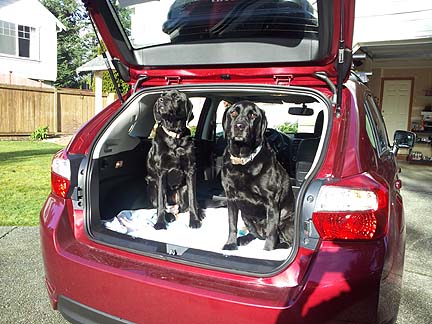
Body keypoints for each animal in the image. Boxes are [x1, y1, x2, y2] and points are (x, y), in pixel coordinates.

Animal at [146, 90, 203, 229]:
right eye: (162, 95)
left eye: (176, 97)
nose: (160, 100)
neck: (175, 137)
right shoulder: (161, 172)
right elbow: (161, 203)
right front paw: (160, 223)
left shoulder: (190, 170)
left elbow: (192, 199)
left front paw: (194, 220)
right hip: (152, 187)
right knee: (161, 204)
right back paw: (169, 216)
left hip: (183, 189)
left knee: (184, 206)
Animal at [221, 100, 296, 251]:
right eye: (233, 112)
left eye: (253, 115)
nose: (239, 126)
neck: (243, 161)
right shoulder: (231, 198)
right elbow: (232, 224)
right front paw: (230, 244)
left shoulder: (272, 202)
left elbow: (271, 233)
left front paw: (267, 251)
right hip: (246, 217)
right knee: (255, 234)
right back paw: (243, 239)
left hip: (285, 222)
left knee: (286, 241)